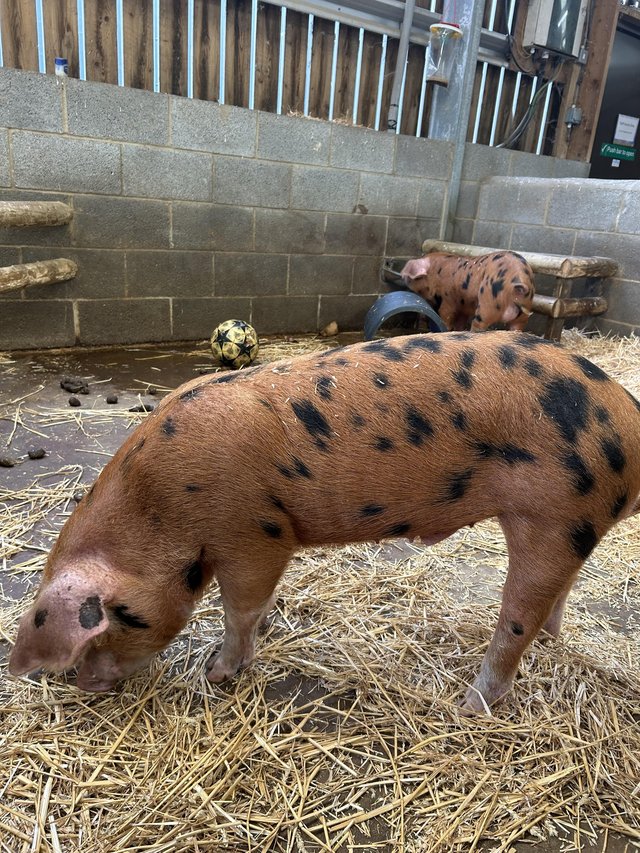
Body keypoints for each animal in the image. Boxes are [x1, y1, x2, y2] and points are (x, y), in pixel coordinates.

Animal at [8, 331, 640, 714]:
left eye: (121, 617)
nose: (86, 684)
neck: (159, 507)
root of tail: (627, 415)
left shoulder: (255, 535)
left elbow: (240, 609)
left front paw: (217, 674)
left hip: (556, 516)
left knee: (516, 624)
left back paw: (467, 707)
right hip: (565, 528)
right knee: (557, 597)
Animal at [400, 251, 535, 332]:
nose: (401, 275)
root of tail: (518, 280)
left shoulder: (448, 300)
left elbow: (446, 316)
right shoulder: (463, 306)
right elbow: (460, 322)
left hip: (487, 304)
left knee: (478, 324)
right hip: (523, 313)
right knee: (517, 327)